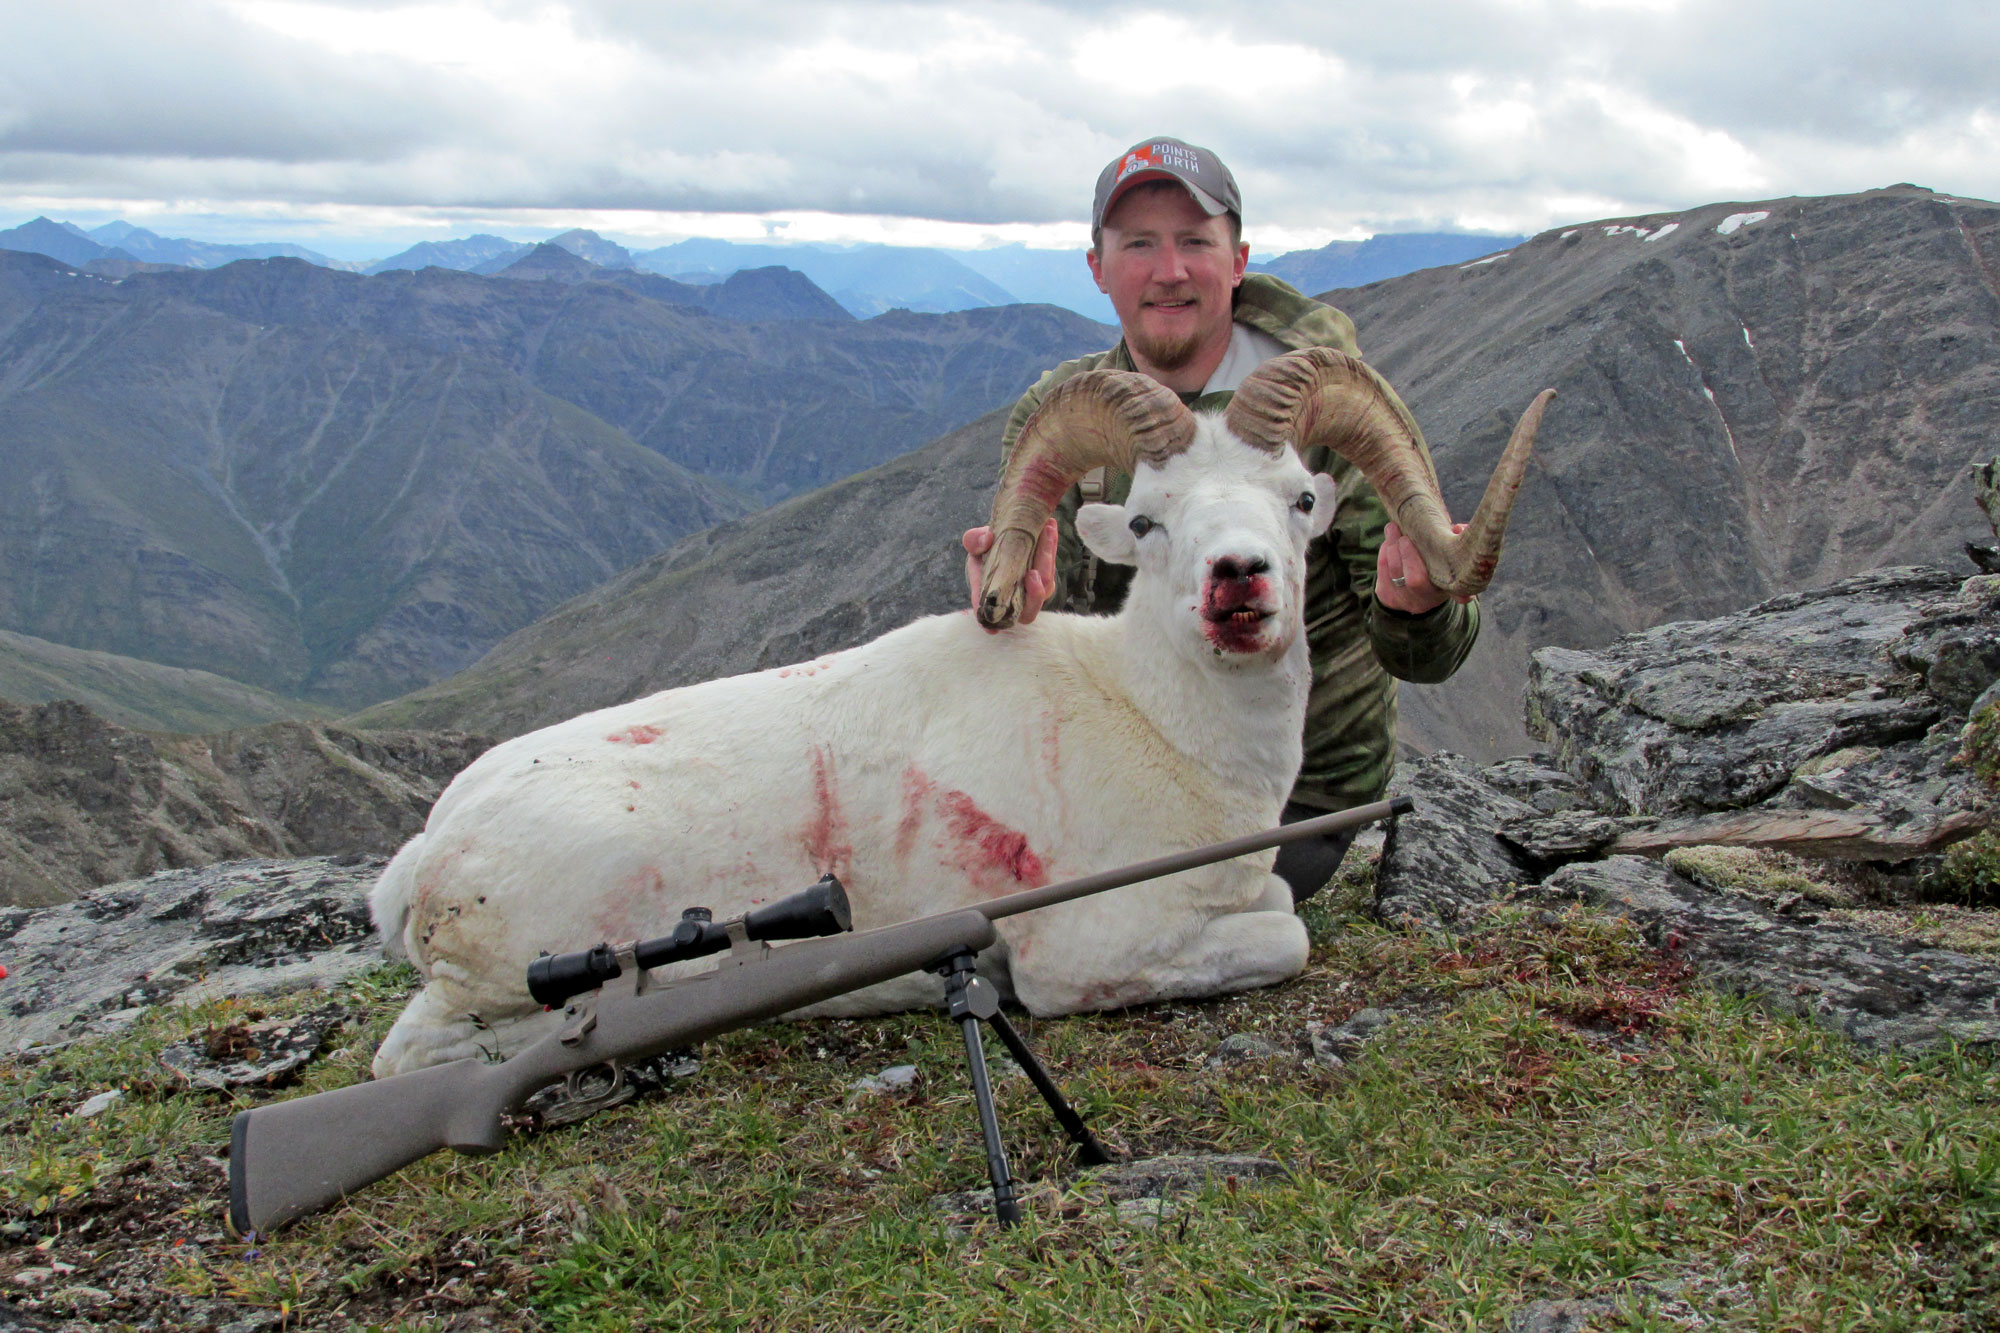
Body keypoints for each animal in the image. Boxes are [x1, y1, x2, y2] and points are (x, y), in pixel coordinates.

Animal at [369, 348, 1550, 1077]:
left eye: (1301, 498)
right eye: (1148, 520)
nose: (1238, 582)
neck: (1165, 730)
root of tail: (426, 856)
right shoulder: (1092, 950)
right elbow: (1287, 934)